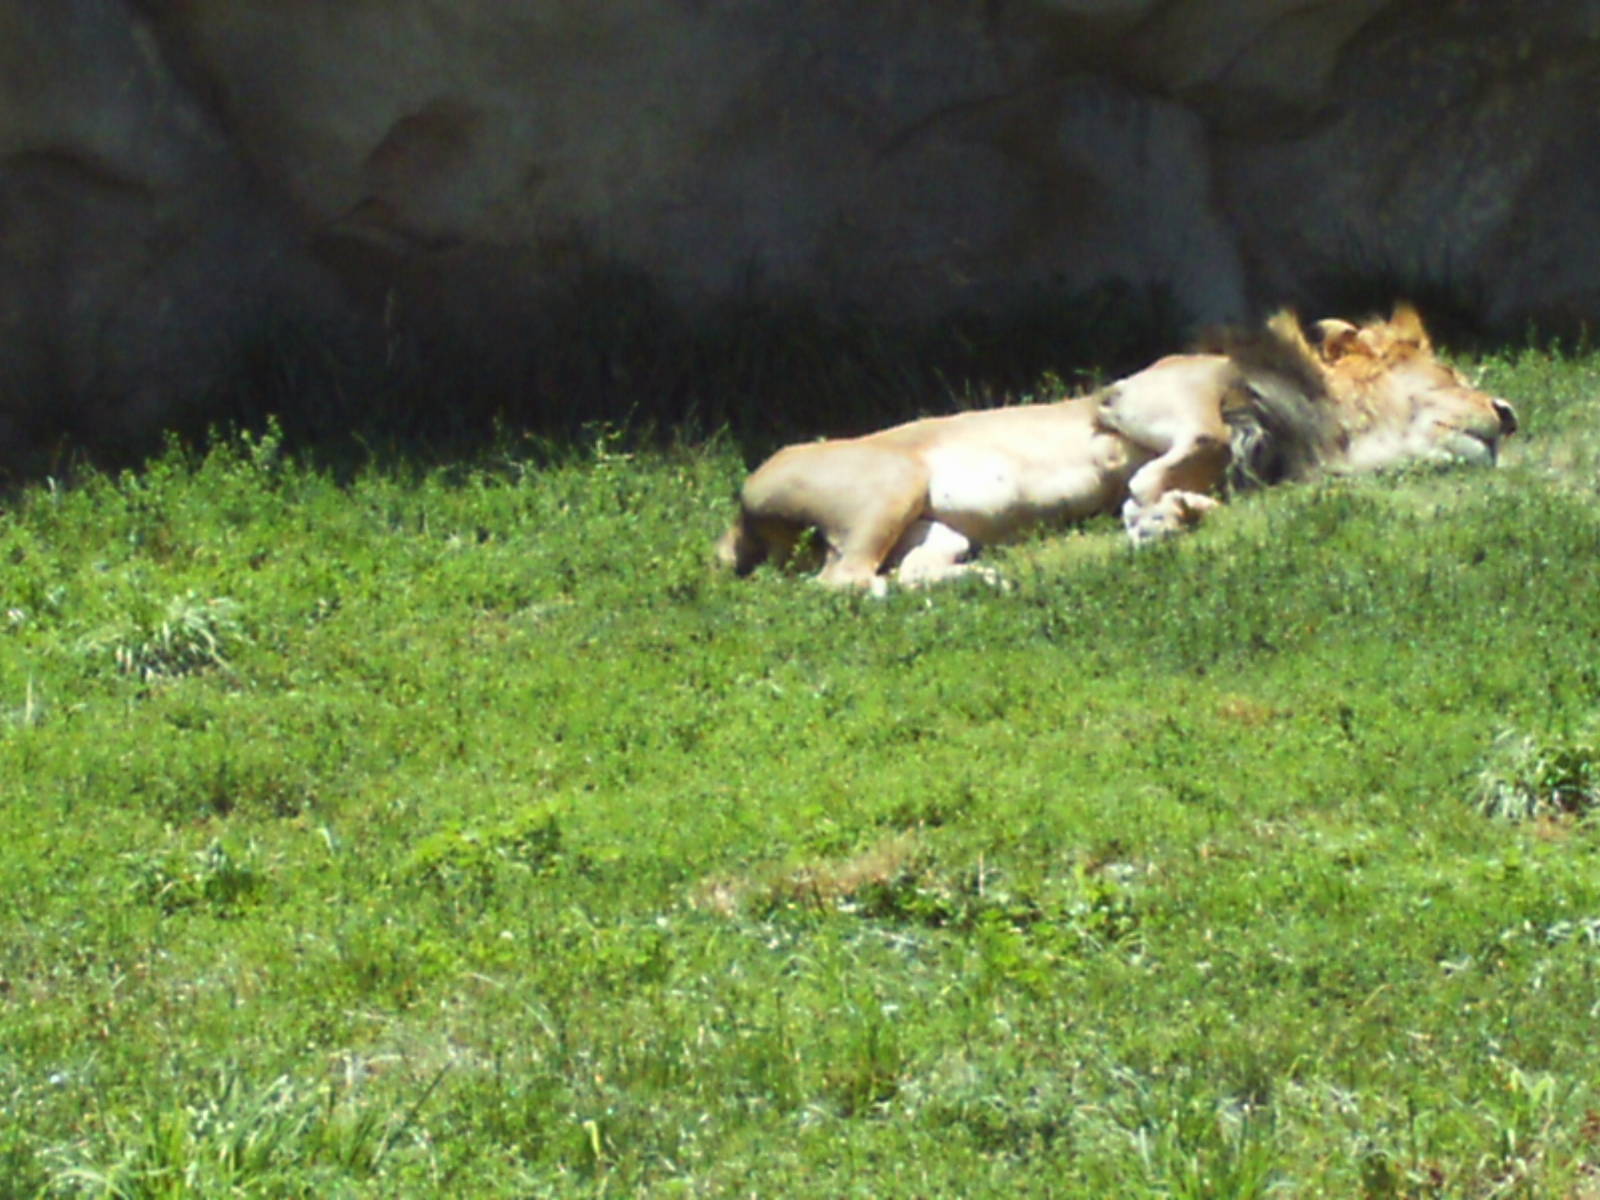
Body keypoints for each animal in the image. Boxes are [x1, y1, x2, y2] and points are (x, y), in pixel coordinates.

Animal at [717, 304, 1517, 589]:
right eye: (1452, 374)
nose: (1509, 413)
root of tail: (743, 503)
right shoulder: (1142, 391)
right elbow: (1203, 436)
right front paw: (1145, 505)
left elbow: (1206, 484)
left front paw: (1171, 516)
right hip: (888, 484)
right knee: (841, 582)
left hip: (934, 528)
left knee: (904, 570)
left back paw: (975, 583)